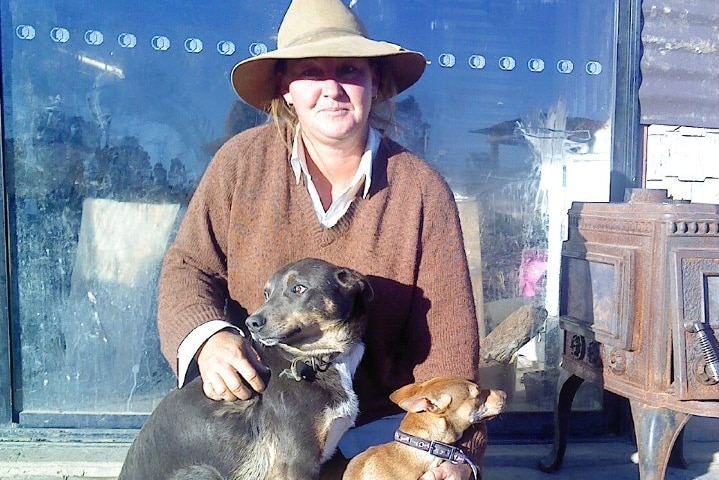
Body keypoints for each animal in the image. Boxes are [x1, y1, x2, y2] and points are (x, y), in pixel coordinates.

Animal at [118, 258, 372, 480]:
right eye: (267, 293)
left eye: (298, 288)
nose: (252, 323)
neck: (314, 358)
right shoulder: (297, 460)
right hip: (204, 473)